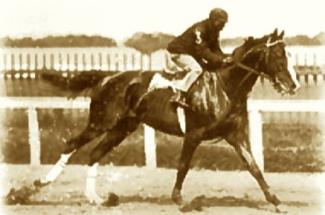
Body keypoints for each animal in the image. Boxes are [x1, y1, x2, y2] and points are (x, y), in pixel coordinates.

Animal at [34, 28, 298, 208]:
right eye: (278, 55)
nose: (293, 85)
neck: (225, 86)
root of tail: (107, 78)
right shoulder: (193, 134)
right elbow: (183, 165)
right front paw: (178, 199)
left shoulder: (235, 134)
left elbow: (254, 167)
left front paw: (275, 200)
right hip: (102, 121)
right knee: (72, 144)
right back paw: (41, 183)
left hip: (123, 127)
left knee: (95, 153)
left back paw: (97, 198)